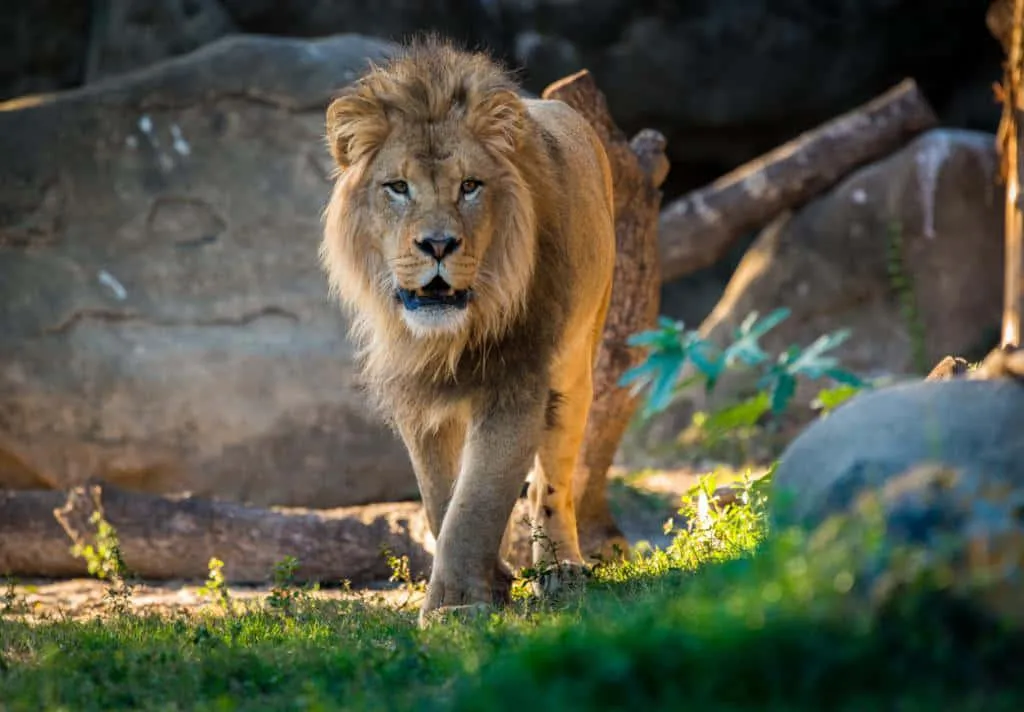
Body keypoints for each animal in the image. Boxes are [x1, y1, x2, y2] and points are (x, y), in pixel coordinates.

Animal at [319, 36, 616, 625]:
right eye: (398, 187)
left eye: (470, 187)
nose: (437, 244)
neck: (449, 336)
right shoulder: (417, 395)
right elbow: (442, 500)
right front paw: (486, 582)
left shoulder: (516, 380)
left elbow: (477, 499)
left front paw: (455, 606)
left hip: (576, 365)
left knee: (553, 481)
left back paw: (562, 570)